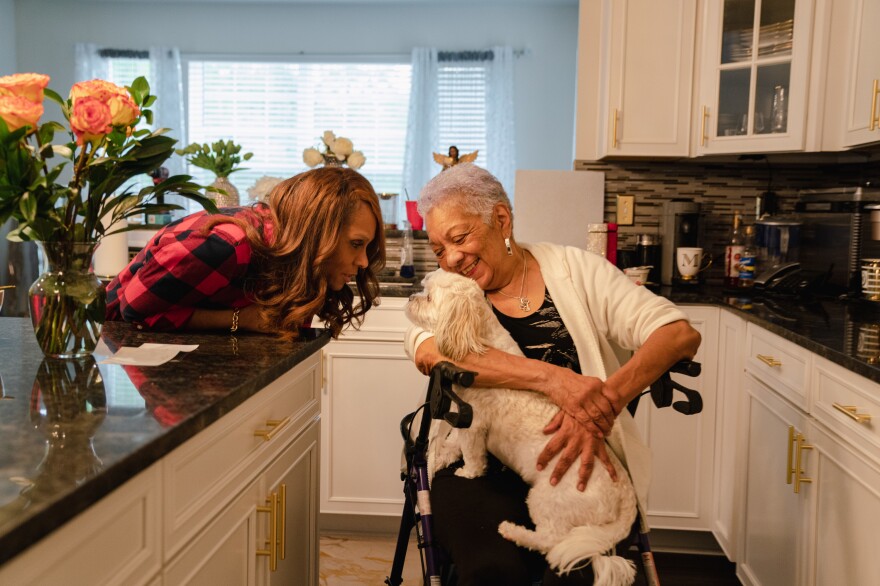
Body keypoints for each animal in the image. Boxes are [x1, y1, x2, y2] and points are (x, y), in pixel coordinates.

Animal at [406, 270, 640, 584]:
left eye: (429, 297)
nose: (410, 298)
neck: (479, 340)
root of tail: (626, 500)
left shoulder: (474, 424)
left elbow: (473, 455)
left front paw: (466, 472)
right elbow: (454, 443)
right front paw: (441, 456)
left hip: (547, 499)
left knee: (550, 541)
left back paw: (512, 531)